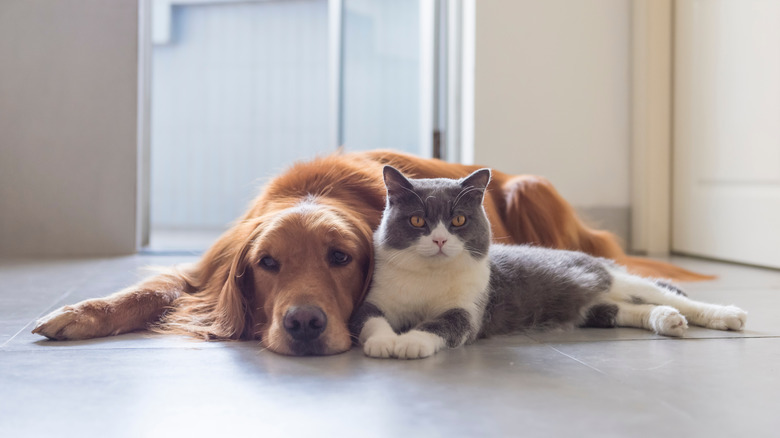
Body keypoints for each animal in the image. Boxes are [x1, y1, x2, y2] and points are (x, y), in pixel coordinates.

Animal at [32, 151, 708, 356]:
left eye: (340, 258)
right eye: (266, 264)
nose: (305, 324)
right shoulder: (206, 269)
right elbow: (146, 290)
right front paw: (78, 314)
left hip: (530, 189)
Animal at [348, 168, 748, 360]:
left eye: (458, 220)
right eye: (418, 221)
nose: (440, 240)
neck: (429, 278)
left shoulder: (468, 310)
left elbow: (442, 325)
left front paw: (410, 343)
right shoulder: (373, 298)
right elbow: (370, 321)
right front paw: (385, 342)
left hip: (610, 277)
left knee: (668, 296)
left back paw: (725, 315)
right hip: (594, 309)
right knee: (629, 309)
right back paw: (667, 320)